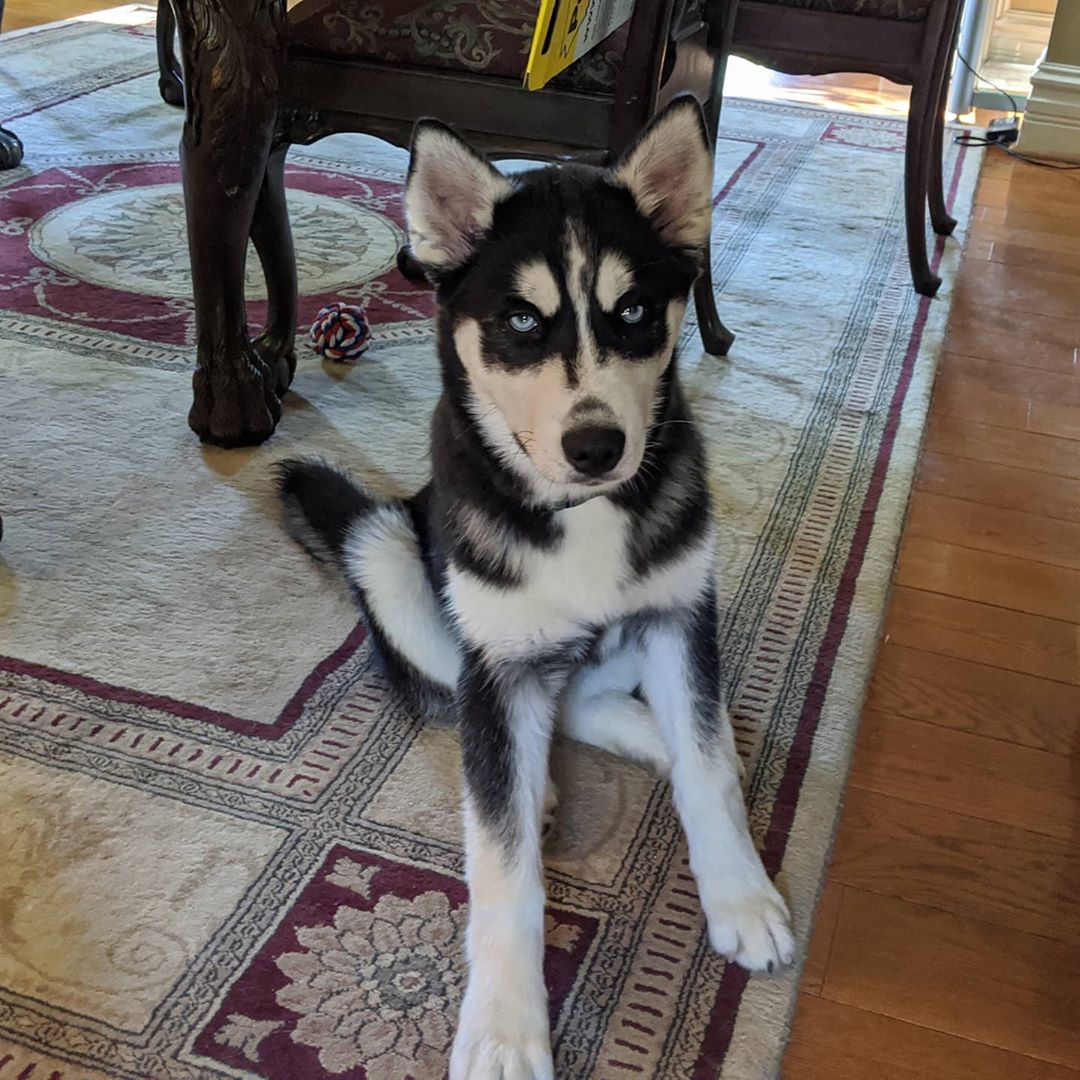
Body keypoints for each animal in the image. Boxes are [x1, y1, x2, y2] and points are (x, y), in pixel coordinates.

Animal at [274, 99, 799, 1080]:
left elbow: (707, 767)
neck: (579, 513)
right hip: (391, 552)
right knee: (484, 719)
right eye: (521, 321)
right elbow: (499, 863)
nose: (597, 447)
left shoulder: (681, 611)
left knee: (601, 705)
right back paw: (535, 783)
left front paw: (742, 898)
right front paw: (503, 1028)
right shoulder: (494, 651)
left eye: (634, 312)